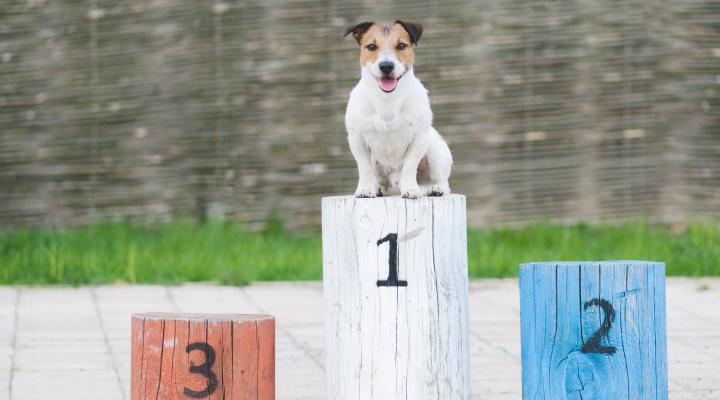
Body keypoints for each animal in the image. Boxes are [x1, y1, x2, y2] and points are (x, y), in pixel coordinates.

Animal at [342, 20, 450, 198]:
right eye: (371, 46)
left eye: (401, 45)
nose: (386, 66)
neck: (387, 100)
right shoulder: (357, 139)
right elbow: (364, 169)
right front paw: (365, 189)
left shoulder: (418, 138)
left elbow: (409, 167)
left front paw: (411, 189)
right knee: (381, 181)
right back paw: (378, 188)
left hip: (434, 148)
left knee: (441, 181)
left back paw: (434, 188)